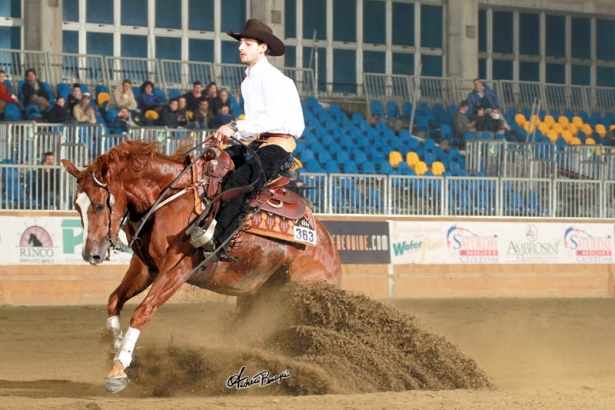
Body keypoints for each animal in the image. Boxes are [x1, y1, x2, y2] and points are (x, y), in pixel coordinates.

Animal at [62, 140, 342, 394]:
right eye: (77, 205)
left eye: (100, 205)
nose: (91, 254)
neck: (169, 197)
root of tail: (328, 245)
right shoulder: (145, 268)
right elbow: (114, 301)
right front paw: (119, 353)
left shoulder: (178, 267)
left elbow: (143, 311)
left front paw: (119, 369)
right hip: (257, 296)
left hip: (301, 291)